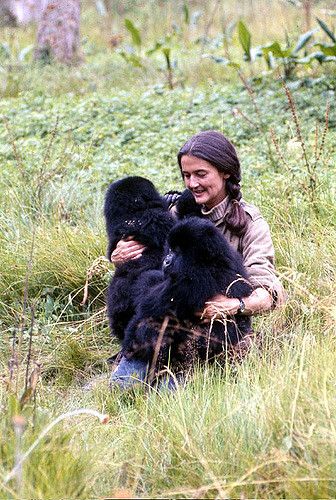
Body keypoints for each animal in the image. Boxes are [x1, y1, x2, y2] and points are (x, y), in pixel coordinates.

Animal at [122, 216, 252, 372]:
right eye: (171, 249)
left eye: (178, 251)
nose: (166, 260)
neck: (209, 259)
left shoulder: (193, 280)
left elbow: (147, 303)